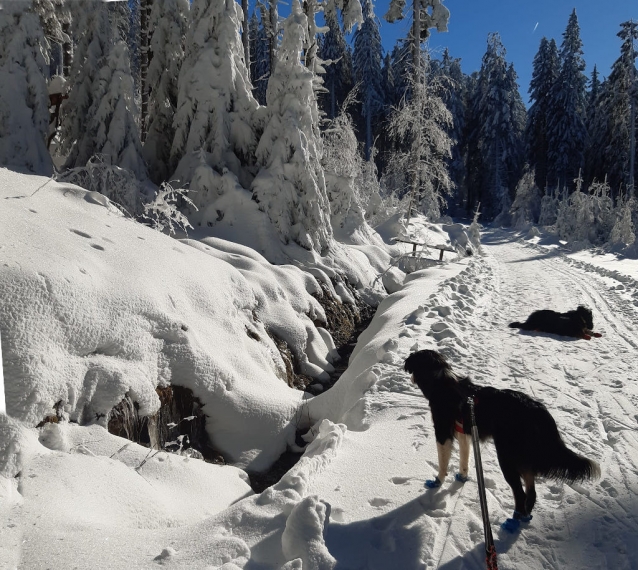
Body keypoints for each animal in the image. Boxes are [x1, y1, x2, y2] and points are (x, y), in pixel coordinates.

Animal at [408, 348, 604, 532]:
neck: (442, 384)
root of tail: (536, 408)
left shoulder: (442, 433)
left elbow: (443, 463)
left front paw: (437, 482)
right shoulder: (465, 433)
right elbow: (464, 459)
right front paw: (462, 477)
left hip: (506, 457)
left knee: (520, 493)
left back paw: (513, 522)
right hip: (522, 458)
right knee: (531, 492)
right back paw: (524, 516)